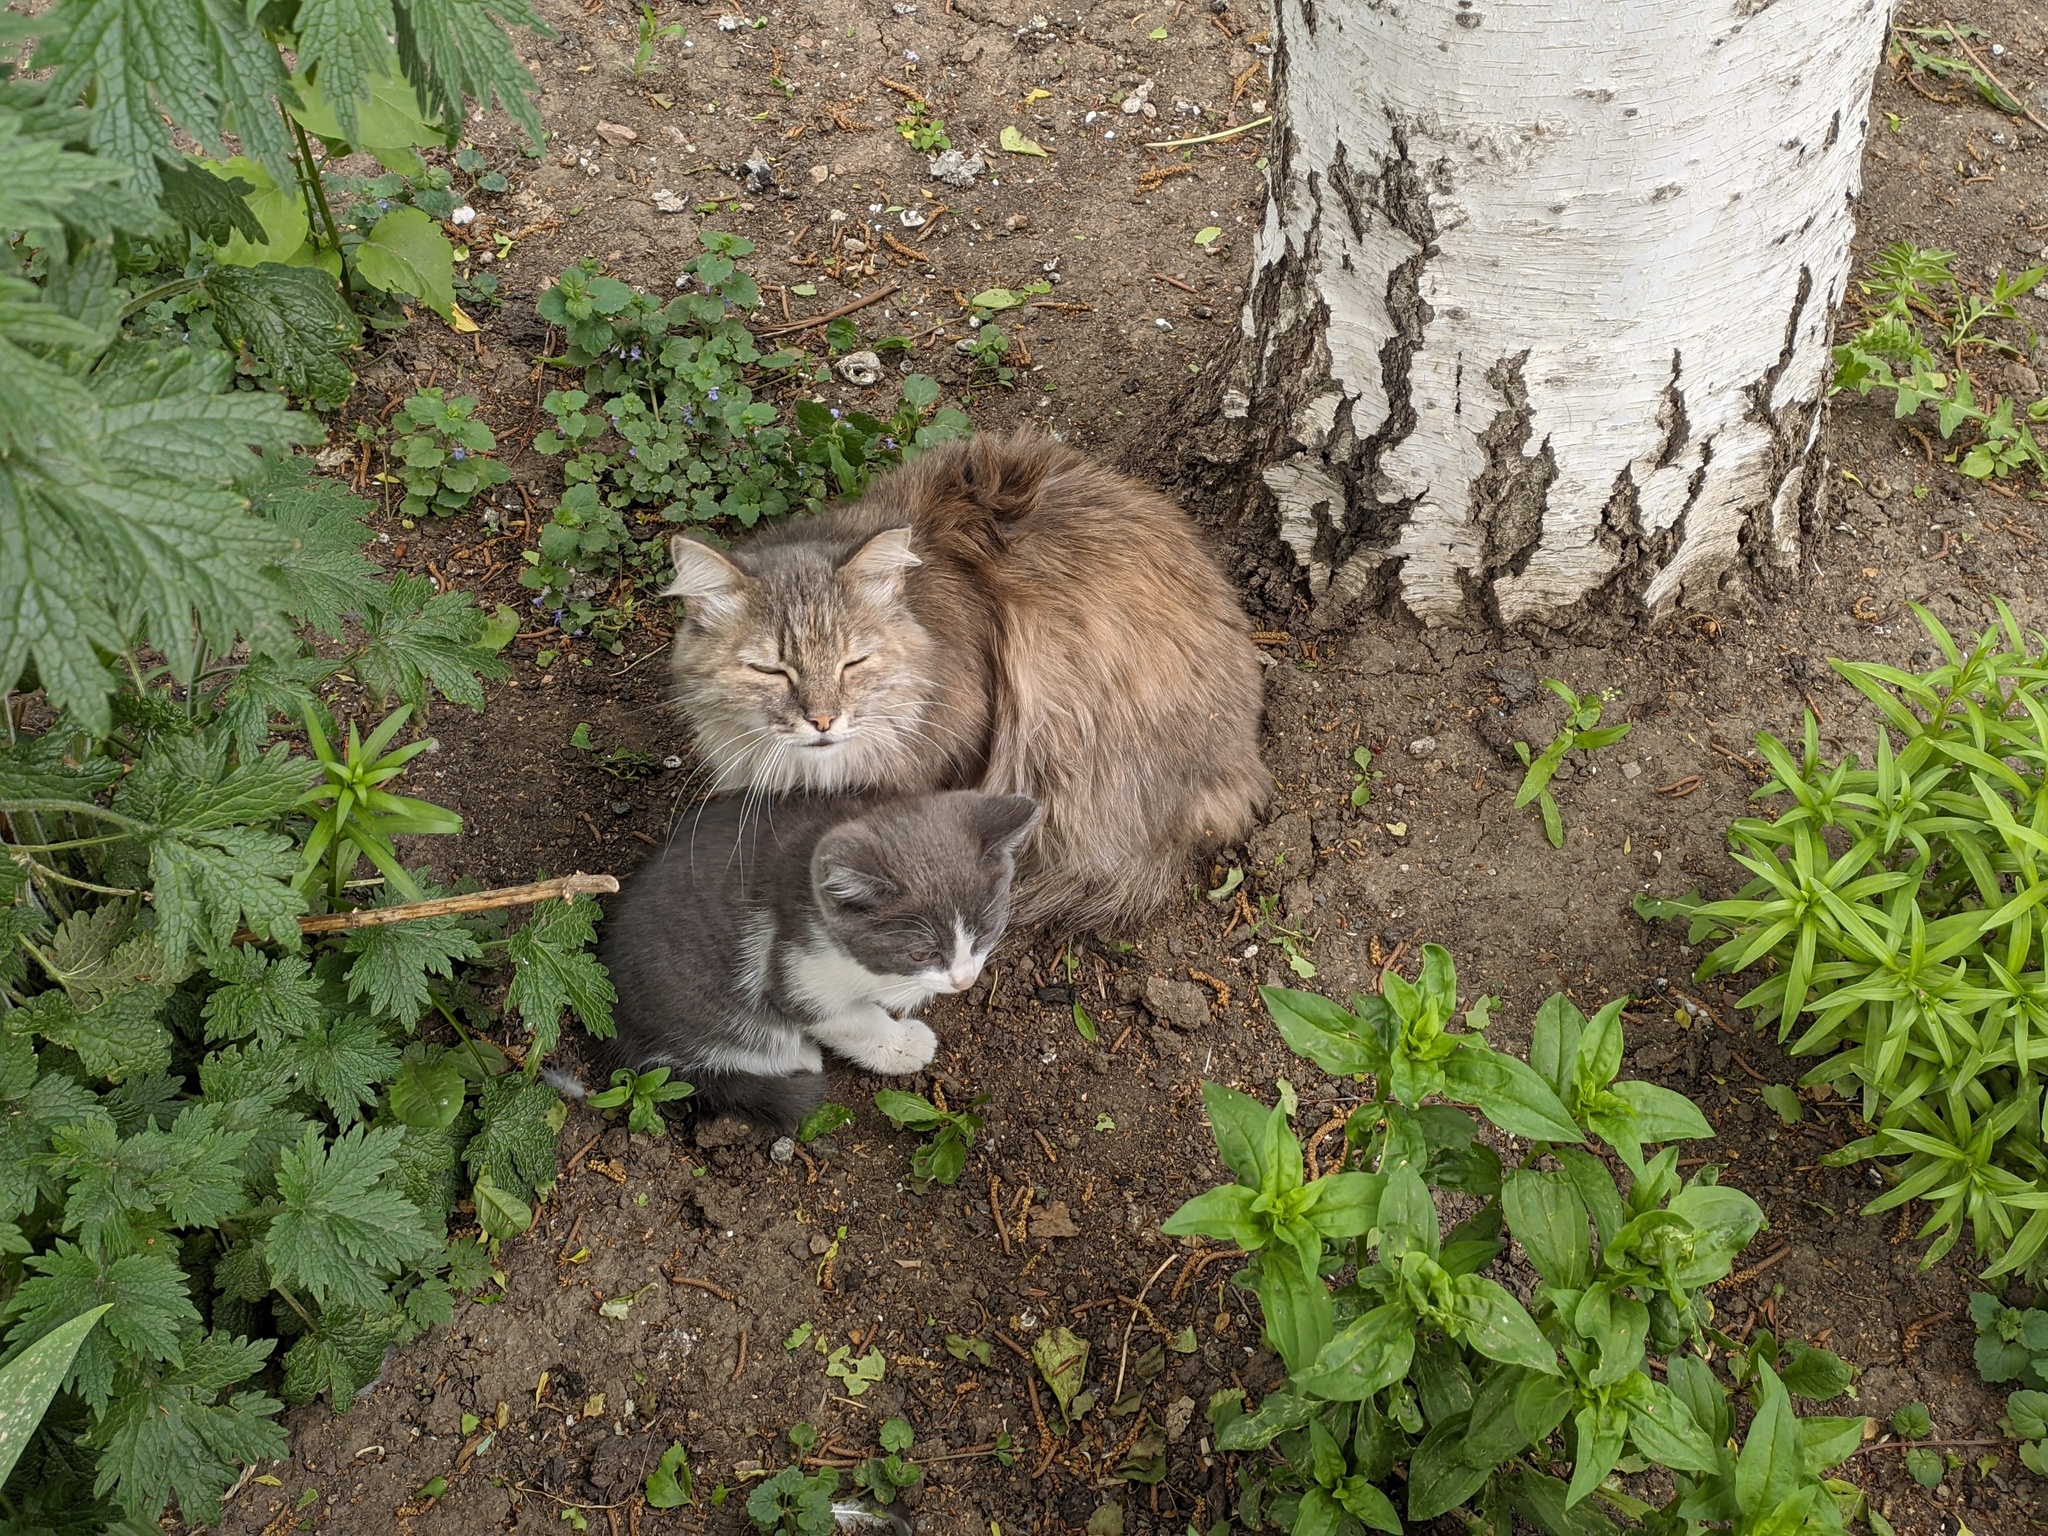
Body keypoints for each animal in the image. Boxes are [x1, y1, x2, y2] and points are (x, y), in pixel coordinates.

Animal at [581, 794, 1040, 1130]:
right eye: (920, 953)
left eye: (985, 932)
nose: (965, 982)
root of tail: (619, 1030)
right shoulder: (794, 971)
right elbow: (851, 1021)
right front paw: (902, 1045)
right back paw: (796, 1056)